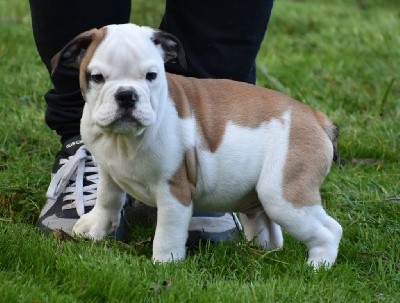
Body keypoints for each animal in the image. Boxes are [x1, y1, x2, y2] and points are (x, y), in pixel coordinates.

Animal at [51, 24, 342, 270]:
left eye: (151, 76)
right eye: (96, 77)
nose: (126, 95)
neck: (124, 140)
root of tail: (317, 117)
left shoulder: (173, 192)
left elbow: (167, 232)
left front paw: (164, 264)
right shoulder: (108, 170)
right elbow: (107, 198)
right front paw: (96, 228)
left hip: (282, 194)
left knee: (330, 230)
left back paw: (317, 266)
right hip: (259, 199)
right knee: (269, 231)